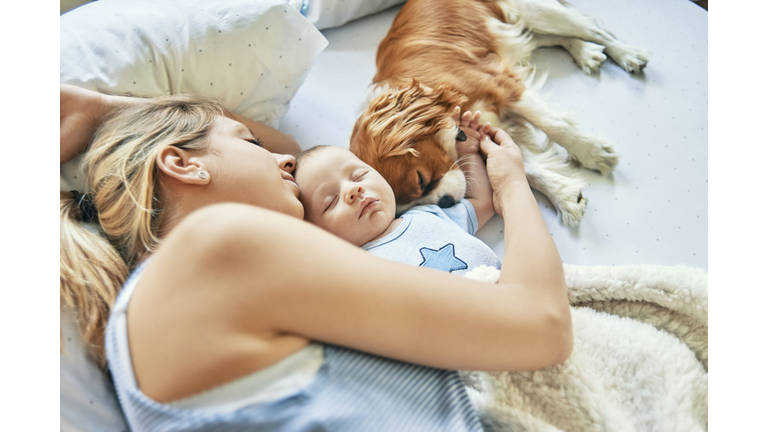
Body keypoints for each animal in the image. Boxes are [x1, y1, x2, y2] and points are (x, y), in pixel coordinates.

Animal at [348, 0, 648, 228]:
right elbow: (525, 165)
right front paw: (563, 195)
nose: (446, 202)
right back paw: (586, 52)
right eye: (404, 209)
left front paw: (592, 152)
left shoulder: (501, 86)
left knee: (595, 30)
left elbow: (553, 124)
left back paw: (627, 54)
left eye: (421, 180)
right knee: (554, 37)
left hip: (537, 11)